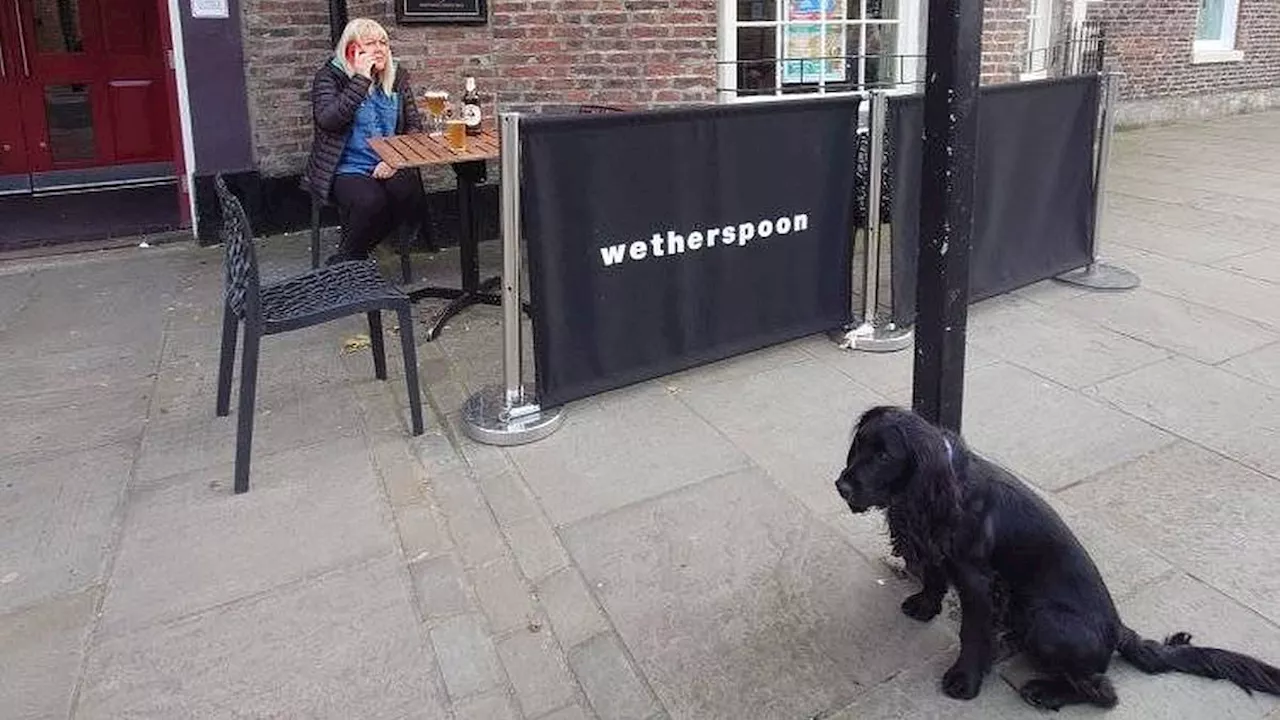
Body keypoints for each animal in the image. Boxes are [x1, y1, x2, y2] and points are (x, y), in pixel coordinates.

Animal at [834, 404, 1274, 707]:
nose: (842, 485)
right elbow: (934, 576)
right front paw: (924, 605)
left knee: (1103, 692)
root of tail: (1118, 631)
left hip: (1047, 621)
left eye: (885, 456)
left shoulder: (978, 579)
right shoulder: (941, 548)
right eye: (860, 445)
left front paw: (965, 680)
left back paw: (1046, 692)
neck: (945, 484)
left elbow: (972, 632)